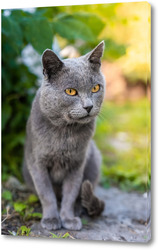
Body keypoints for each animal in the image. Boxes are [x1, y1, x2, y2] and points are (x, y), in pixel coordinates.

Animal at [22, 41, 105, 230]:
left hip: (94, 159)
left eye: (95, 88)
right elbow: (46, 194)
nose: (89, 106)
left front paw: (68, 218)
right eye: (71, 92)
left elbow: (70, 194)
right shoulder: (37, 163)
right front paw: (52, 219)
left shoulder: (77, 164)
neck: (65, 134)